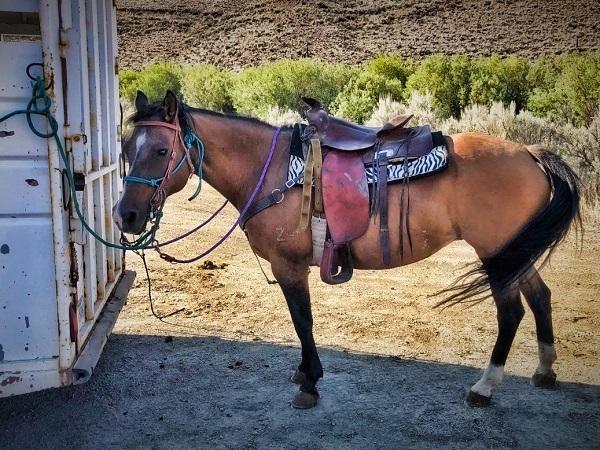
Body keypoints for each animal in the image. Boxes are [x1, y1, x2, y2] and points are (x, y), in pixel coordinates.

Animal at [113, 90, 580, 408]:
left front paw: (310, 382)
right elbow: (300, 321)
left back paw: (484, 386)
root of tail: (530, 152)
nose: (125, 217)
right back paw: (544, 369)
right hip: (514, 251)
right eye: (126, 149)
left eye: (161, 150)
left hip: (496, 251)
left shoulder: (289, 266)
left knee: (511, 311)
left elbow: (302, 320)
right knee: (540, 297)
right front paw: (304, 373)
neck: (271, 170)